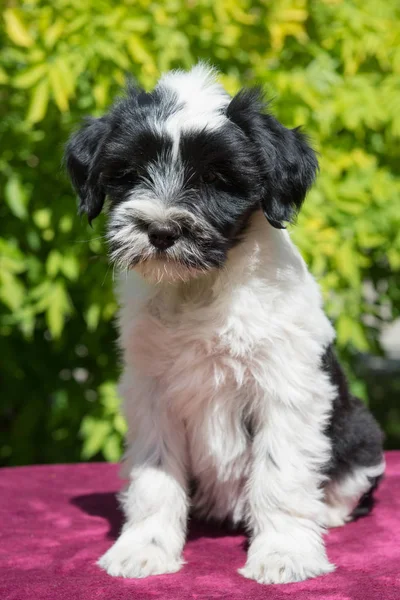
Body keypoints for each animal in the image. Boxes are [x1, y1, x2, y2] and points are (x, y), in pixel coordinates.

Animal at [65, 63, 384, 584]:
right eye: (128, 174)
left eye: (217, 178)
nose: (161, 231)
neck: (200, 288)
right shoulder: (151, 391)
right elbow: (154, 476)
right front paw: (144, 549)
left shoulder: (285, 387)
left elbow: (280, 473)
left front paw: (283, 553)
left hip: (360, 430)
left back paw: (325, 513)